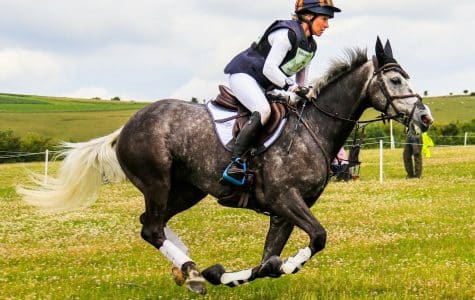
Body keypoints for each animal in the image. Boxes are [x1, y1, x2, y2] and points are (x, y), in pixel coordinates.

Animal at [18, 38, 436, 294]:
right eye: (395, 80)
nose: (425, 117)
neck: (314, 128)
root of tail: (125, 127)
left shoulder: (284, 211)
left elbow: (268, 261)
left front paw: (228, 275)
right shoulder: (285, 199)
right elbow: (316, 238)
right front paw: (241, 272)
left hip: (187, 190)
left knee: (153, 224)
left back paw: (189, 270)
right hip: (157, 182)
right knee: (152, 227)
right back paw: (191, 273)